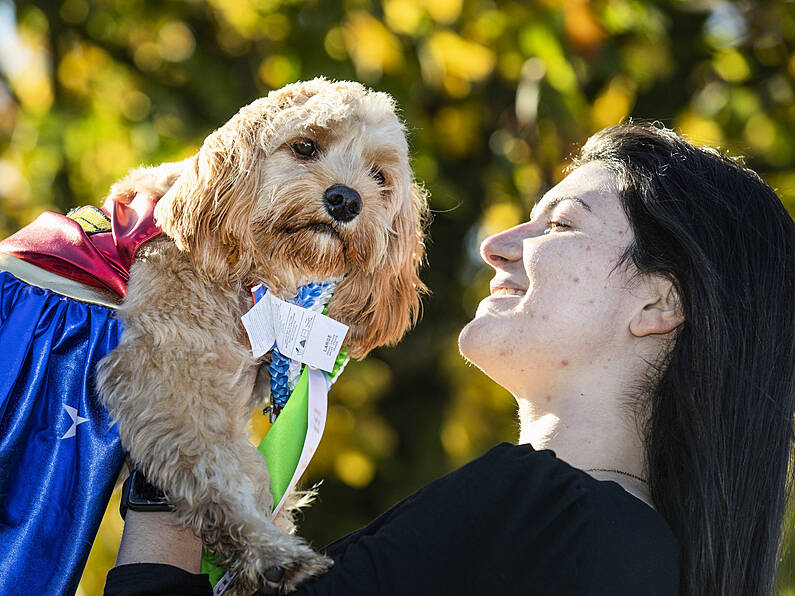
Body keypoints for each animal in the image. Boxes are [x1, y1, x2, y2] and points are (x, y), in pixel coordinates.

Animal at [91, 78, 430, 592]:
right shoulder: (169, 375)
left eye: (379, 176)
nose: (347, 200)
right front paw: (270, 552)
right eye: (305, 145)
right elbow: (220, 472)